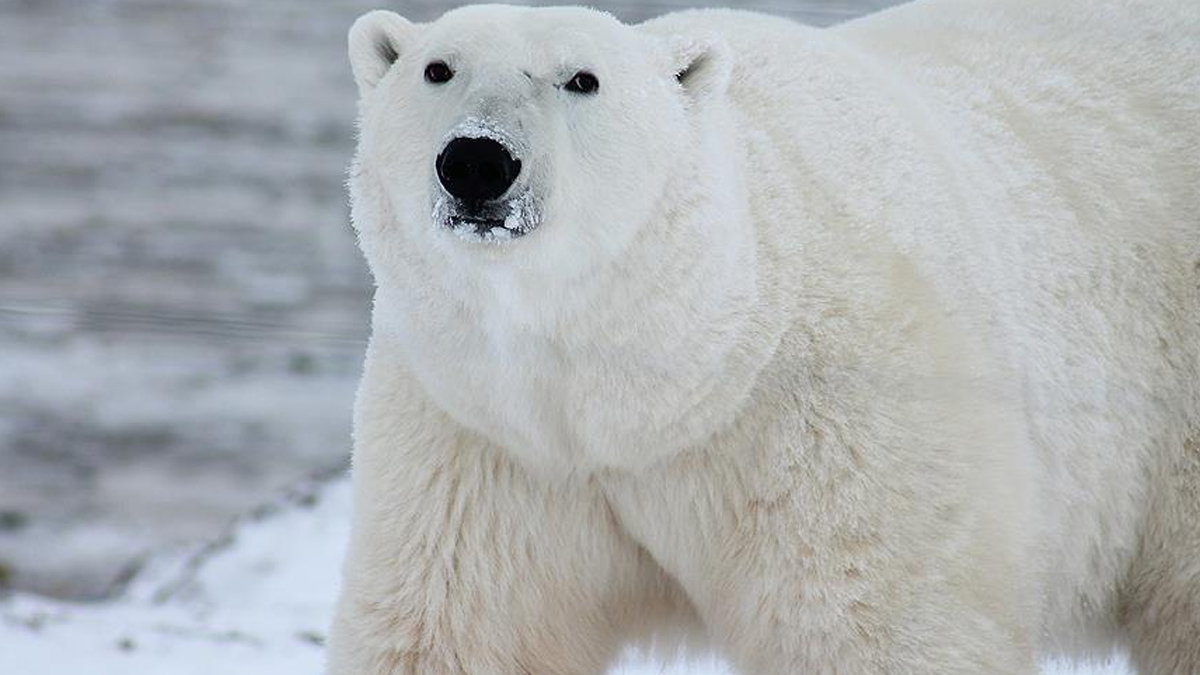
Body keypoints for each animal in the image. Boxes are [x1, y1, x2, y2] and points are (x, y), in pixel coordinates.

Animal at [324, 2, 1195, 667]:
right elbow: (459, 628)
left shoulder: (836, 423)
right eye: (438, 68)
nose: (476, 160)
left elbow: (875, 623)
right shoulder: (484, 439)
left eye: (582, 79)